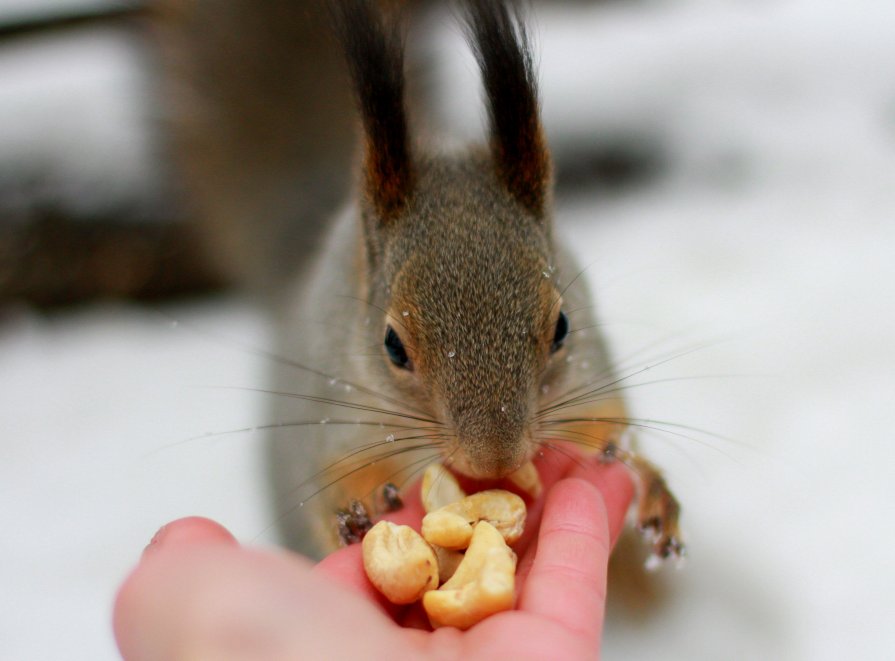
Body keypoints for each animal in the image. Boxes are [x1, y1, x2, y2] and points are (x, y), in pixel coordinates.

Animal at [150, 1, 684, 564]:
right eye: (392, 345)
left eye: (562, 327)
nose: (493, 460)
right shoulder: (334, 424)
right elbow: (335, 483)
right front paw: (353, 518)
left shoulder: (589, 382)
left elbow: (610, 429)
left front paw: (652, 490)